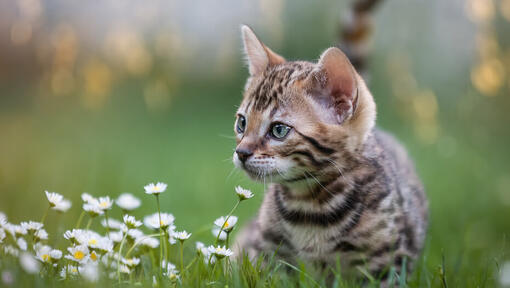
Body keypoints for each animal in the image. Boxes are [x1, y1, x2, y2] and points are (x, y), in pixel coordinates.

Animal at [233, 25, 428, 284]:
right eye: (242, 123)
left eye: (279, 130)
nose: (241, 152)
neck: (309, 205)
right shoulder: (269, 254)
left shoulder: (386, 264)